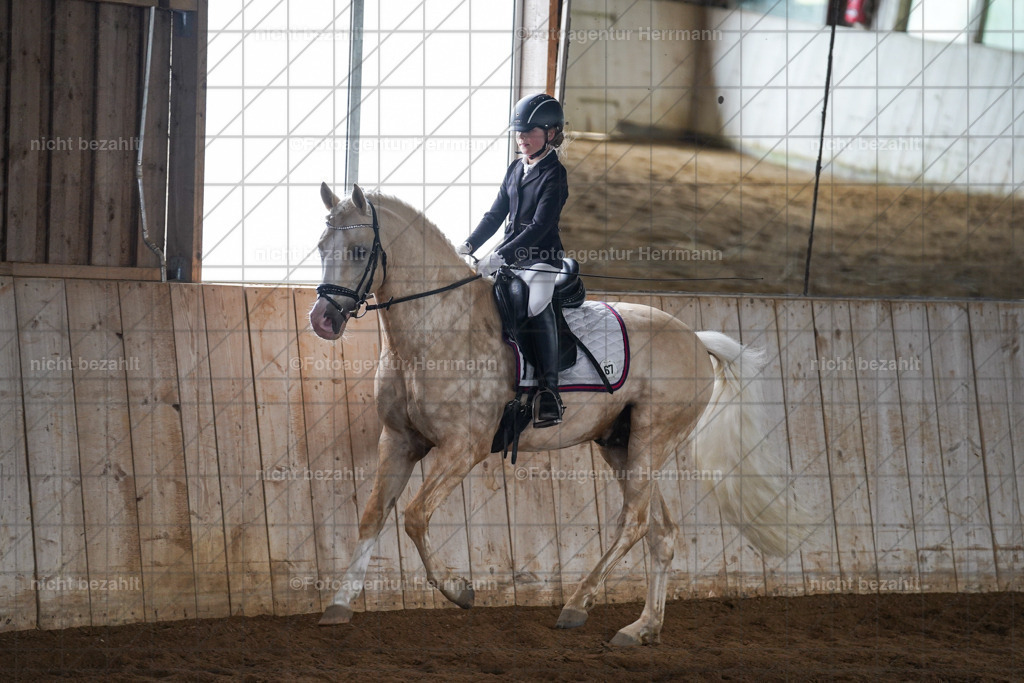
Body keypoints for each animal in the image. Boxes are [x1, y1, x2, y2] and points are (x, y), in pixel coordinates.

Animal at [309, 183, 809, 646]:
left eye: (358, 250)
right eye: (320, 247)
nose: (322, 321)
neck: (440, 327)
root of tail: (695, 338)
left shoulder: (463, 447)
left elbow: (413, 516)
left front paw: (458, 590)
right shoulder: (399, 440)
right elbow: (374, 514)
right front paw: (339, 605)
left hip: (653, 437)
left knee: (635, 521)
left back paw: (577, 604)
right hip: (622, 445)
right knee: (661, 532)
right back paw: (641, 627)